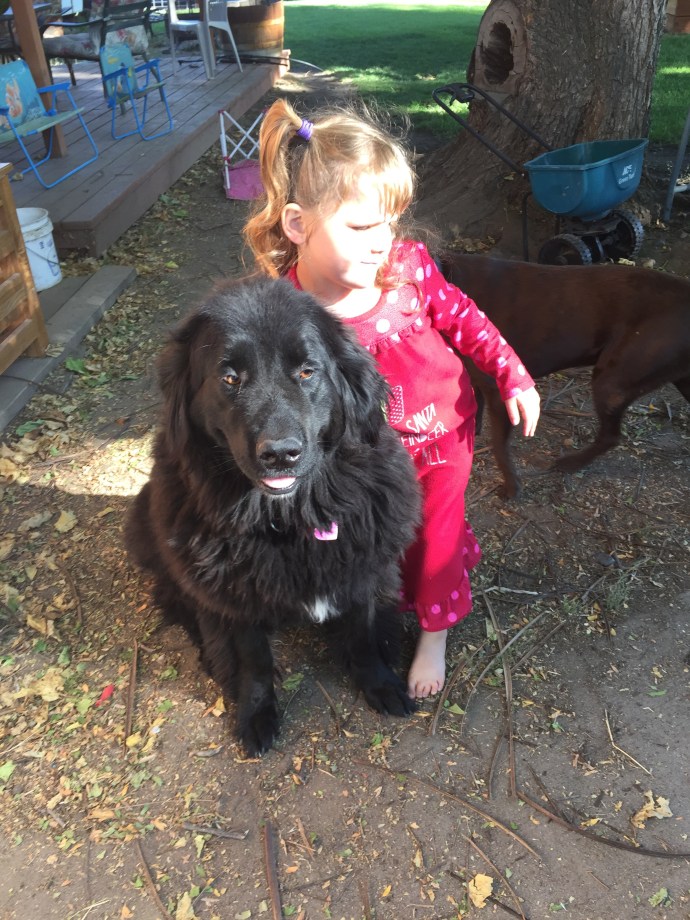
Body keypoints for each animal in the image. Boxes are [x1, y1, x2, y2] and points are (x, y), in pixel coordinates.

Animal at [126, 277, 421, 756]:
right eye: (230, 377)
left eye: (307, 371)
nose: (280, 453)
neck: (289, 519)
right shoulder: (235, 597)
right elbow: (254, 659)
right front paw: (257, 713)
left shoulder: (361, 568)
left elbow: (362, 631)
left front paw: (380, 683)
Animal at [441, 252, 690, 498]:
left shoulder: (501, 392)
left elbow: (499, 447)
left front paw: (512, 488)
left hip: (610, 384)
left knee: (610, 436)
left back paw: (572, 462)